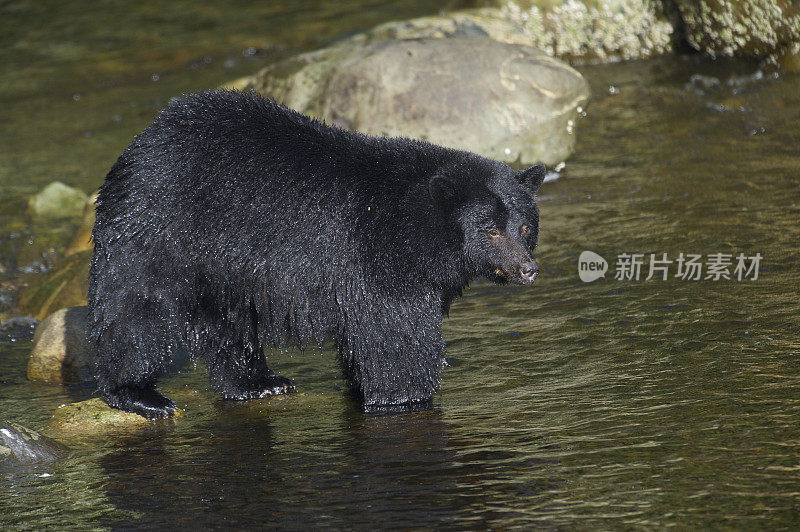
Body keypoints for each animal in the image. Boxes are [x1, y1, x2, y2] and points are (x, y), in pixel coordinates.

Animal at [87, 89, 544, 418]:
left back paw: (257, 382)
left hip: (220, 265)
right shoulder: (376, 255)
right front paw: (405, 396)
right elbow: (395, 338)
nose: (527, 269)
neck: (414, 225)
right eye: (490, 229)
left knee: (228, 322)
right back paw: (138, 393)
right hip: (156, 233)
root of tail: (139, 145)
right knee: (135, 311)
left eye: (524, 227)